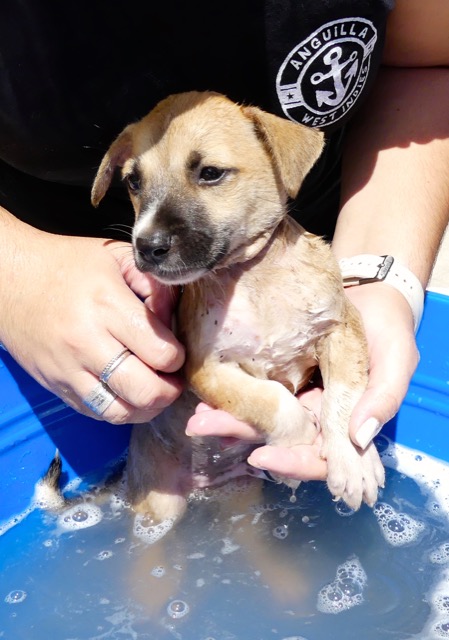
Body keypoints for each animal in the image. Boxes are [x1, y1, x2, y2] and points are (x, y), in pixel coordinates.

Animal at [92, 90, 384, 528]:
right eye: (133, 182)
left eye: (210, 173)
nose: (146, 246)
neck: (254, 276)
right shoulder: (207, 369)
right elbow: (270, 399)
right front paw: (297, 442)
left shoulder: (341, 329)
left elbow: (344, 398)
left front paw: (354, 460)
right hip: (160, 510)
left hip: (242, 499)